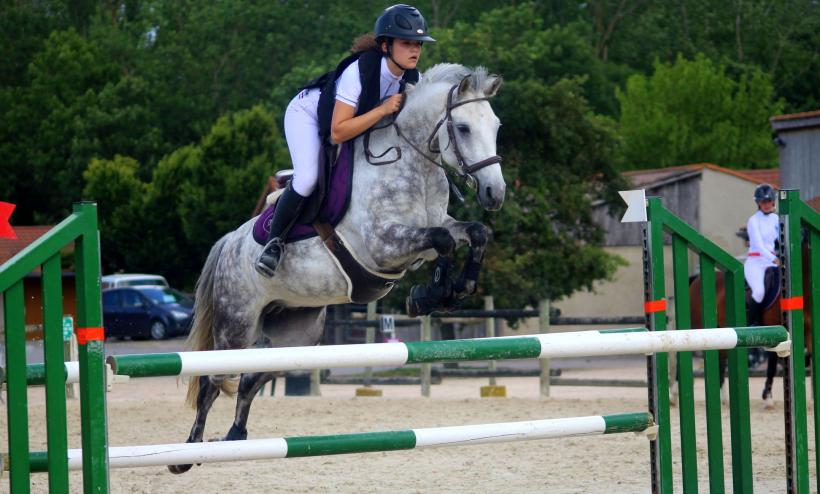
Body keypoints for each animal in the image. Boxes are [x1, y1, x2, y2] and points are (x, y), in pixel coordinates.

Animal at [169, 63, 502, 472]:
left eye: (496, 126)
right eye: (464, 128)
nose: (495, 194)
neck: (413, 166)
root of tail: (229, 241)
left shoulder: (435, 228)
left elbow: (473, 233)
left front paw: (451, 291)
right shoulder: (382, 245)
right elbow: (441, 241)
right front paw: (431, 293)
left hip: (296, 336)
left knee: (249, 380)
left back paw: (235, 438)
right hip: (236, 324)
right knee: (211, 383)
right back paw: (187, 453)